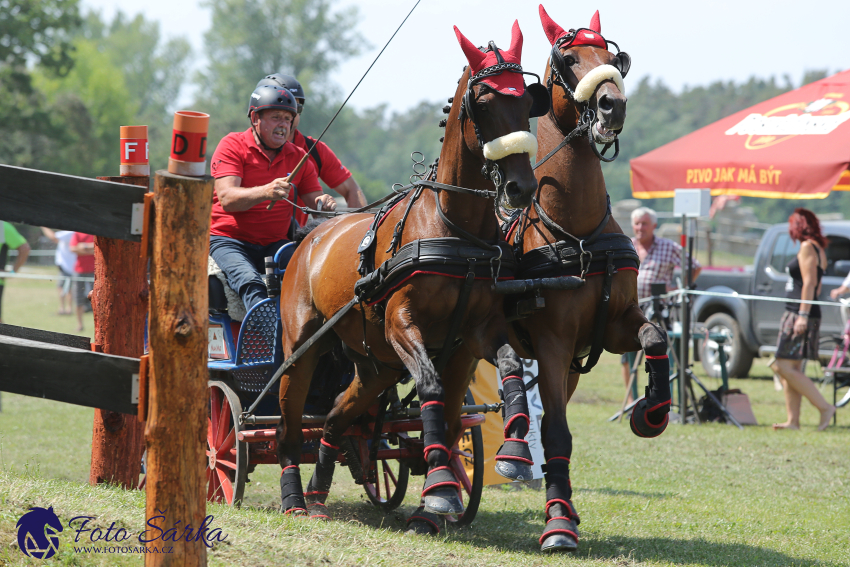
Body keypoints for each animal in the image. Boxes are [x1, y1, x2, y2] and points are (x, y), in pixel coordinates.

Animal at [274, 21, 548, 528]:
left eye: (526, 102)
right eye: (484, 103)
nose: (522, 188)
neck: (451, 226)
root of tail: (310, 238)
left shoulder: (473, 335)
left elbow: (507, 369)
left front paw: (515, 454)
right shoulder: (403, 325)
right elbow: (430, 386)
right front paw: (439, 487)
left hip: (375, 367)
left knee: (337, 417)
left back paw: (319, 491)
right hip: (302, 349)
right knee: (288, 425)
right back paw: (294, 498)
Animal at [500, 6, 672, 552]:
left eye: (612, 56)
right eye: (569, 59)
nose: (612, 104)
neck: (574, 232)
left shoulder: (611, 326)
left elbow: (655, 336)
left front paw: (650, 412)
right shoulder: (553, 343)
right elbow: (556, 433)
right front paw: (558, 524)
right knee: (502, 370)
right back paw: (511, 450)